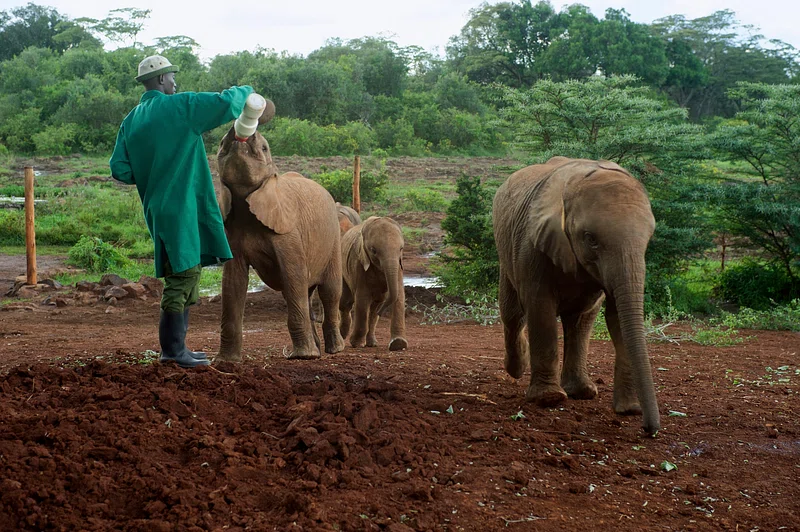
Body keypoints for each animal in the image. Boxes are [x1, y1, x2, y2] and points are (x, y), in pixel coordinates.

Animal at [215, 100, 345, 361]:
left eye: (265, 148)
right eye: (222, 144)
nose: (240, 134)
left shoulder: (288, 232)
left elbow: (293, 274)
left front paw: (303, 357)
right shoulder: (232, 231)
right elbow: (232, 281)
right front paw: (224, 361)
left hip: (334, 238)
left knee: (329, 291)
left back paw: (334, 350)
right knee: (303, 292)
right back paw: (316, 350)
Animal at [339, 216, 408, 351]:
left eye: (401, 249)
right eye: (373, 250)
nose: (381, 312)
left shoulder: (399, 266)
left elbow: (399, 296)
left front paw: (398, 344)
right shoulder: (358, 263)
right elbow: (362, 299)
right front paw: (356, 344)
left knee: (374, 307)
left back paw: (372, 343)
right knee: (345, 302)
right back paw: (343, 335)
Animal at [492, 156, 660, 434]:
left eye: (649, 239)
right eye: (590, 239)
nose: (650, 430)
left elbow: (616, 315)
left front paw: (628, 409)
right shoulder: (531, 244)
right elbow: (540, 307)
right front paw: (548, 399)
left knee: (579, 320)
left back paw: (581, 392)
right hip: (505, 250)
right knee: (513, 314)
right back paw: (517, 368)